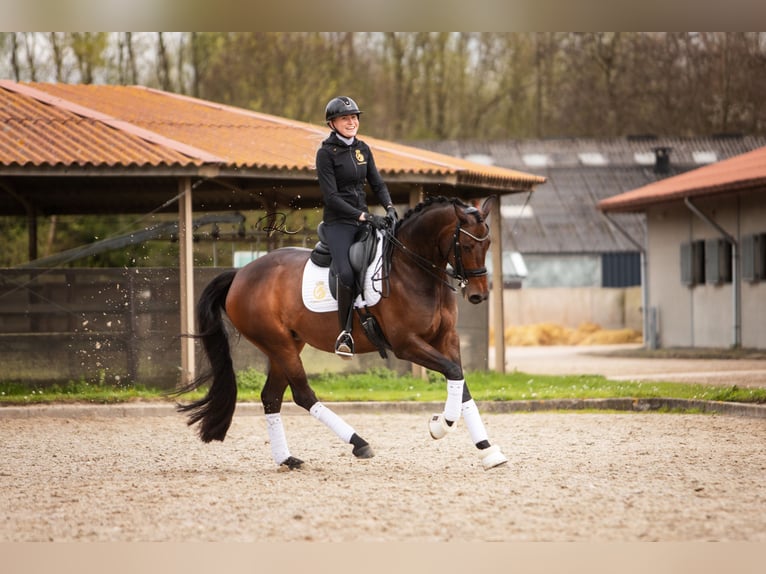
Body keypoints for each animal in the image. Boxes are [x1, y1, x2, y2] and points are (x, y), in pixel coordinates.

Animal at [179, 197, 510, 472]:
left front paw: (488, 451)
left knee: (271, 397)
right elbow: (454, 372)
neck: (413, 269)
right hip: (278, 343)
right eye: (466, 246)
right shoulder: (406, 344)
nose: (479, 295)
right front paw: (440, 424)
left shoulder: (446, 339)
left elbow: (460, 381)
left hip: (287, 344)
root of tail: (241, 274)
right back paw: (359, 443)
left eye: (488, 244)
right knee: (303, 395)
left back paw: (288, 459)